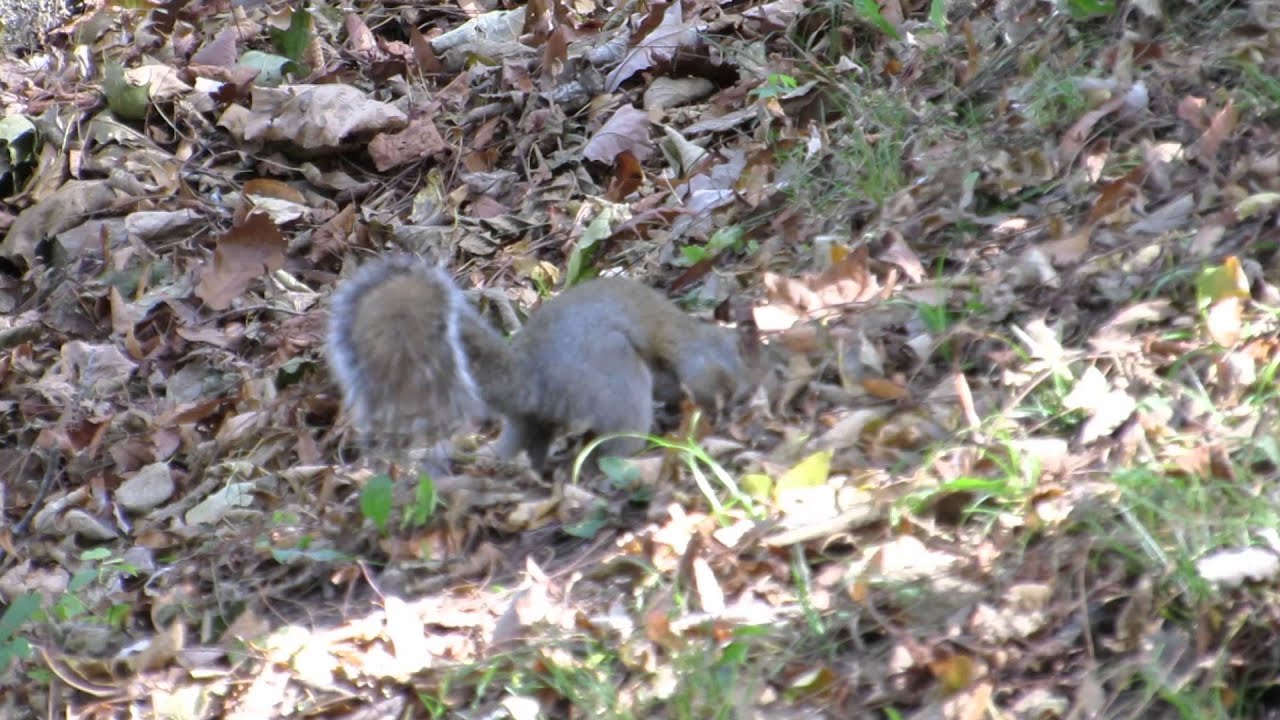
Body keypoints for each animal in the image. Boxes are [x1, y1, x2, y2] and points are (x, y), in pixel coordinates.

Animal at [326, 254, 752, 471]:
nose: (739, 407)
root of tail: (529, 378)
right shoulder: (687, 358)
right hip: (617, 376)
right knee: (618, 443)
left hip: (531, 420)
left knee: (523, 443)